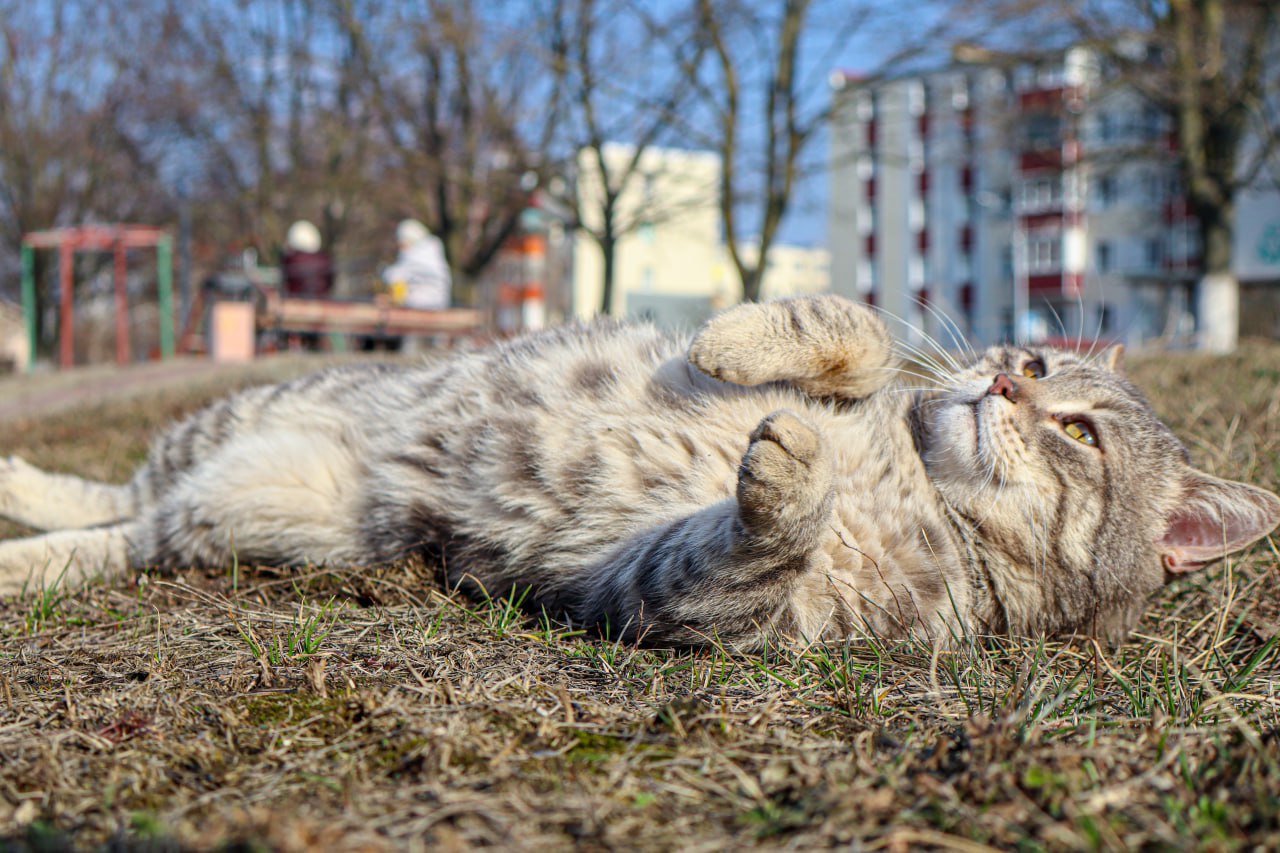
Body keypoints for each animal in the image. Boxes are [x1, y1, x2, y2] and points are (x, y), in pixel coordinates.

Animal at [2, 294, 1280, 645]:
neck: (921, 481)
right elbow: (862, 326)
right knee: (121, 495)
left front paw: (791, 476)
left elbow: (752, 551)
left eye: (1082, 434)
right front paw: (741, 337)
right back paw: (22, 481)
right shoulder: (883, 381)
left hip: (260, 517)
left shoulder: (681, 596)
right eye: (1034, 355)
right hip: (242, 429)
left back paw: (24, 563)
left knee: (125, 536)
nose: (1007, 381)